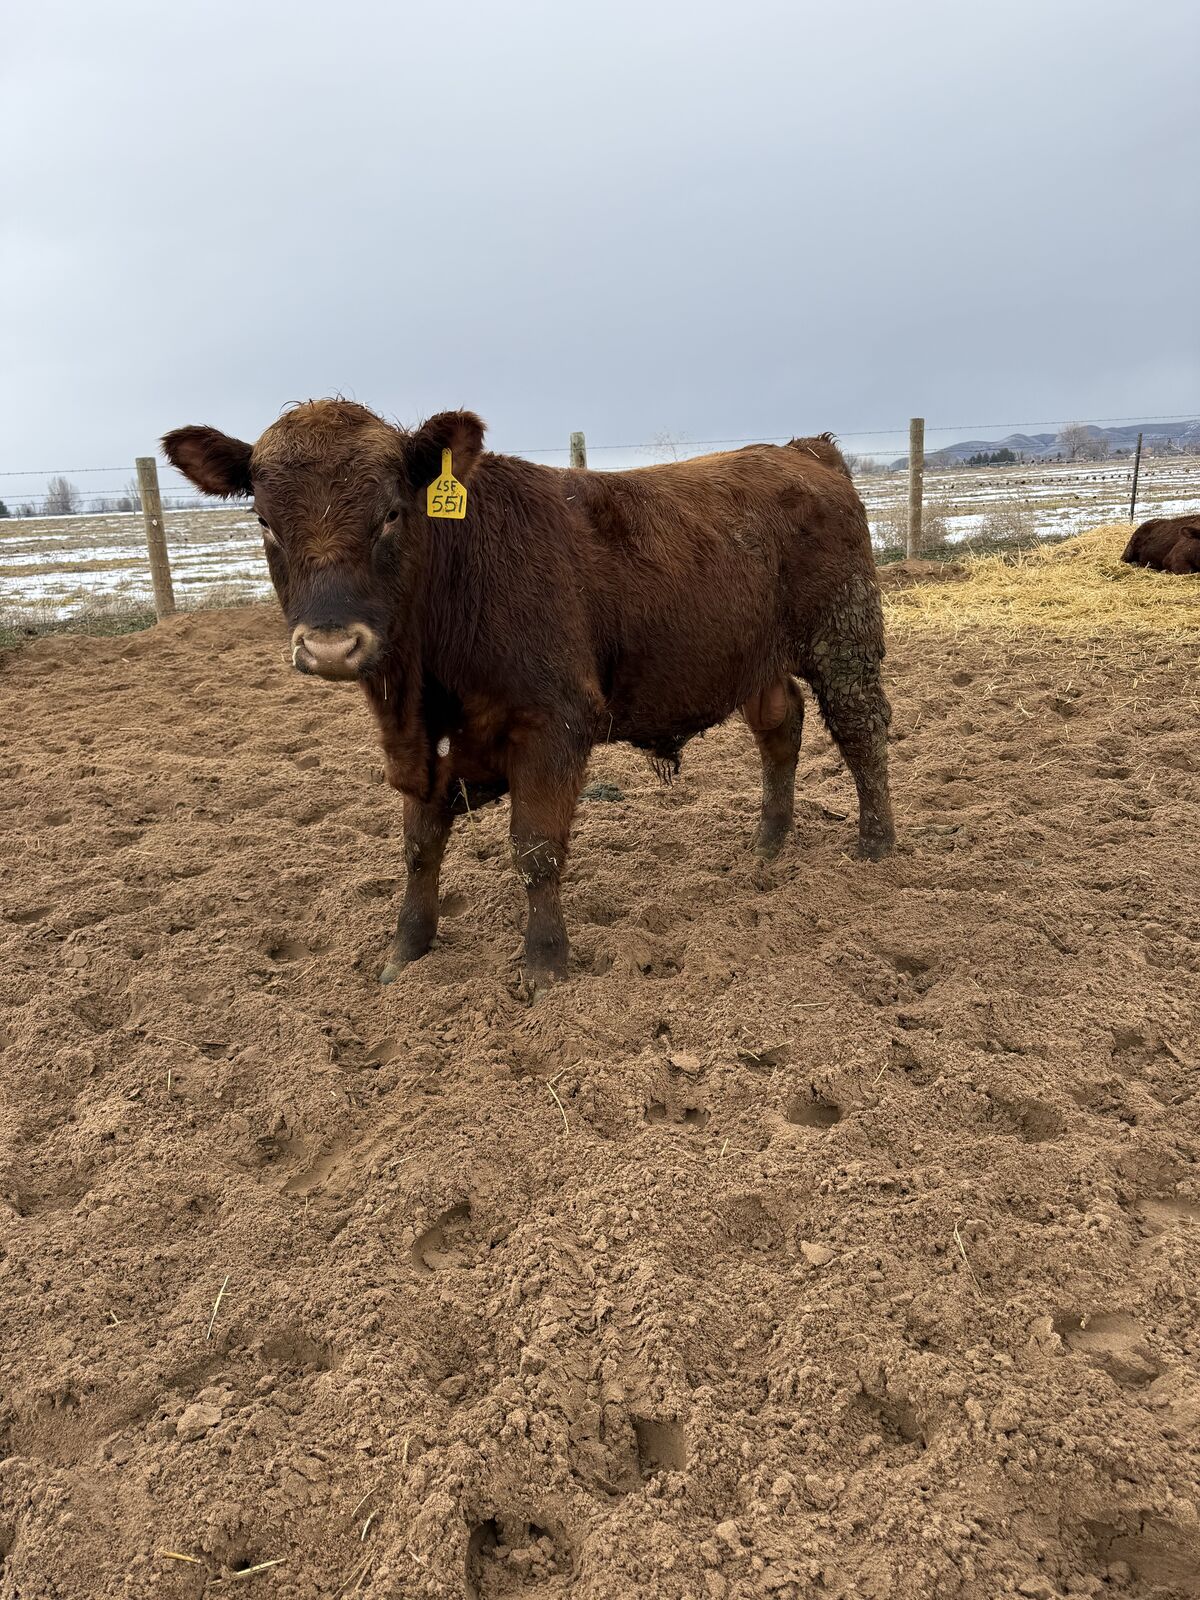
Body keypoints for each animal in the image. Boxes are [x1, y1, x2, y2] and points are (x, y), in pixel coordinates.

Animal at [163, 401, 896, 991]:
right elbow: (419, 847)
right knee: (781, 726)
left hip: (843, 639)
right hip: (753, 659)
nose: (331, 645)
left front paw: (545, 962)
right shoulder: (426, 748)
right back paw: (768, 844)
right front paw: (407, 949)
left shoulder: (555, 723)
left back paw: (875, 845)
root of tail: (803, 451)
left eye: (391, 514)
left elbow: (536, 849)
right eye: (263, 521)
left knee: (863, 731)